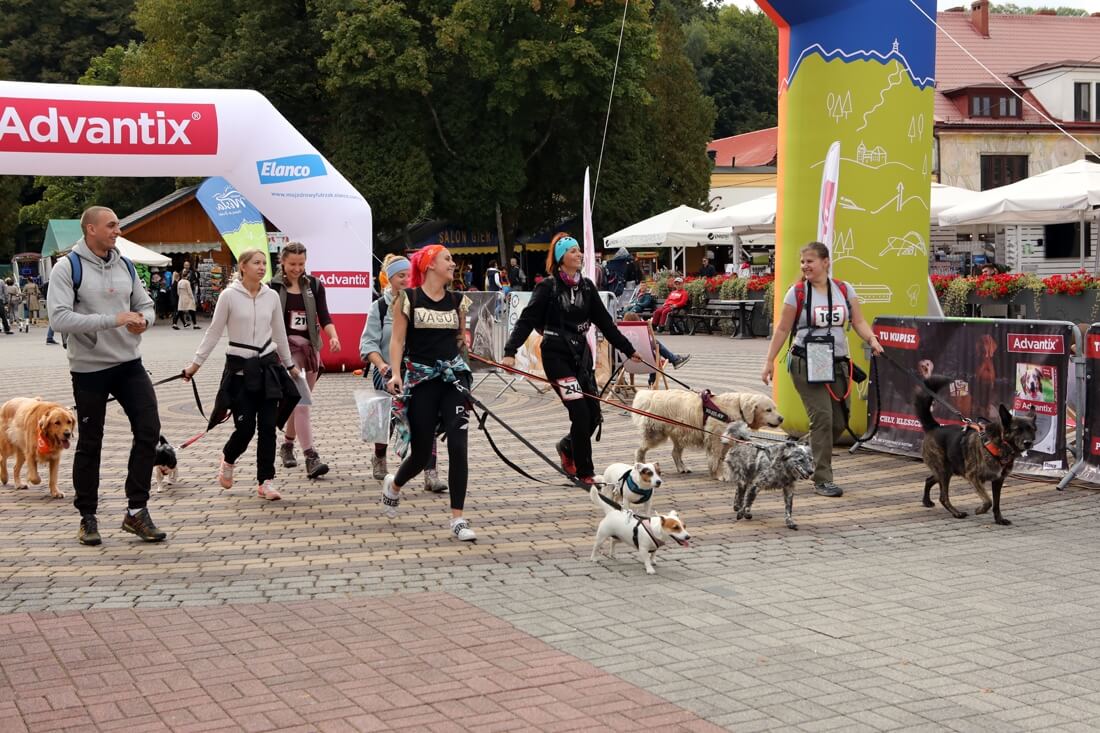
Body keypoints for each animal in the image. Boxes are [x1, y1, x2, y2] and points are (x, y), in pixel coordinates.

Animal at [915, 374, 1034, 521]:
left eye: (1032, 429)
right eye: (1017, 430)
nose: (1028, 442)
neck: (999, 444)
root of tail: (934, 426)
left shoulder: (998, 481)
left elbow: (996, 503)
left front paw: (999, 520)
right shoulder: (973, 476)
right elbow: (988, 500)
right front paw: (980, 510)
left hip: (947, 469)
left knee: (929, 480)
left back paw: (926, 501)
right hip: (944, 471)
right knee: (943, 497)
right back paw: (956, 513)